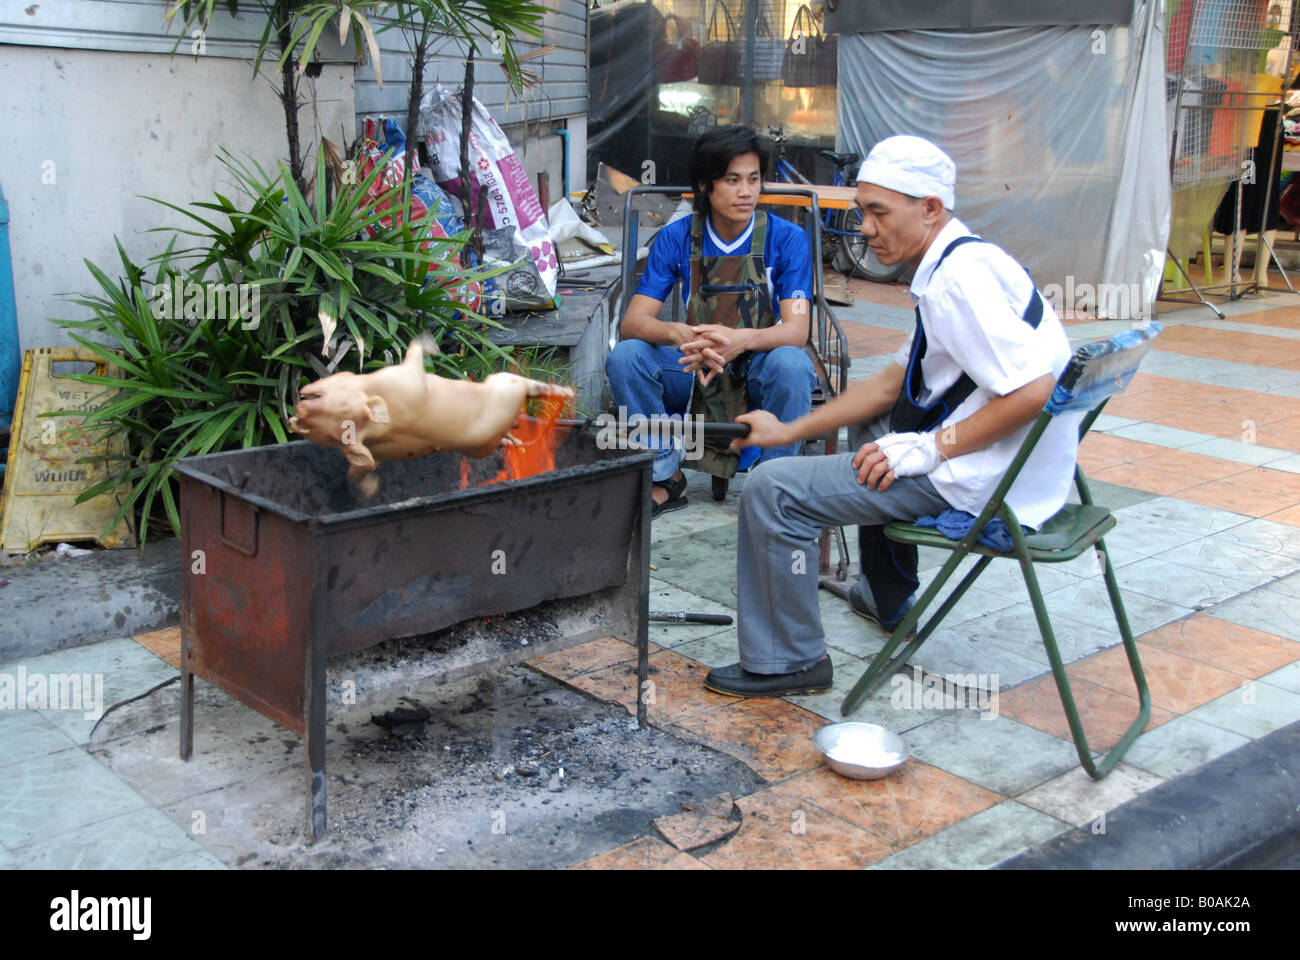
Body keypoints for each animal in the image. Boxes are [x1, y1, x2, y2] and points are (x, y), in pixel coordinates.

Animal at [289, 335, 574, 496]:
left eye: (322, 399)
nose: (298, 412)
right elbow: (360, 468)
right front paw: (368, 489)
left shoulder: (404, 380)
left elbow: (414, 353)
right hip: (495, 407)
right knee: (521, 387)